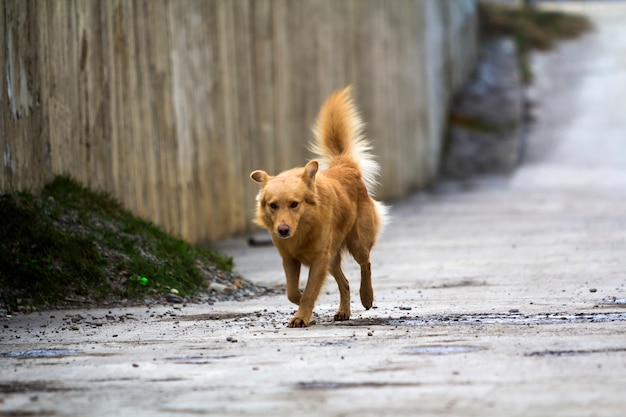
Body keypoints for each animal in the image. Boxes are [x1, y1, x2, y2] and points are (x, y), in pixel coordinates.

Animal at [249, 88, 386, 326]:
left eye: (294, 204)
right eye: (273, 205)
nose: (282, 230)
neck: (303, 228)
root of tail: (344, 165)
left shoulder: (319, 259)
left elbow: (311, 291)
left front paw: (301, 316)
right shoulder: (290, 260)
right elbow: (293, 293)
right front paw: (303, 304)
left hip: (357, 243)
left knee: (365, 264)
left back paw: (366, 296)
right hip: (332, 259)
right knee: (345, 282)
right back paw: (343, 311)